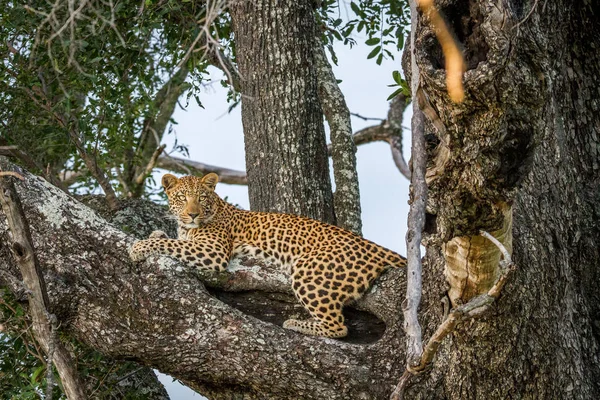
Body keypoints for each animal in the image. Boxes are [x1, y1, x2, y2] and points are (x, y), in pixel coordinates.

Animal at [128, 173, 406, 340]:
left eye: (201, 198)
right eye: (181, 198)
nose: (193, 214)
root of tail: (374, 247)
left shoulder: (213, 250)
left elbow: (171, 244)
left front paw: (139, 247)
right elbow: (171, 239)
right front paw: (156, 232)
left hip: (308, 269)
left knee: (338, 326)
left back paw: (295, 323)